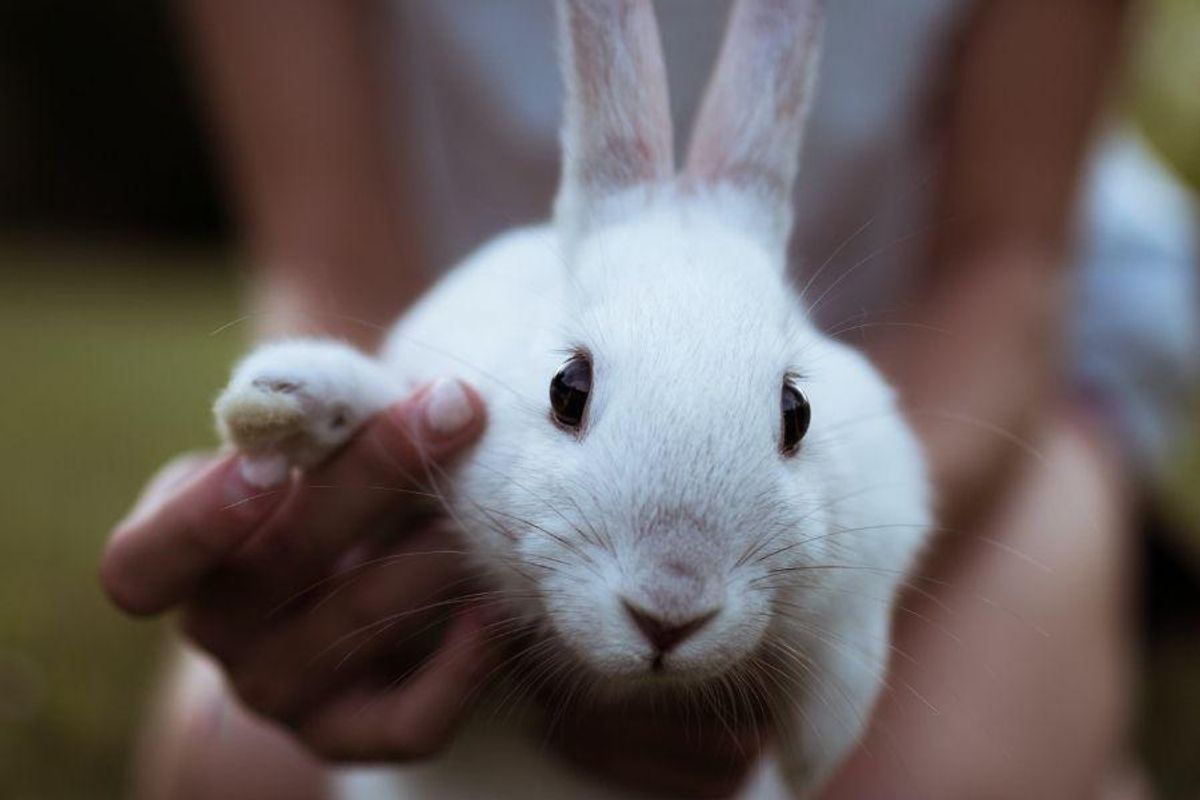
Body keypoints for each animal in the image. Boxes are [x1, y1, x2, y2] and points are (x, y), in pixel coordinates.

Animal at [213, 1, 926, 796]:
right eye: (567, 389)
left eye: (795, 412)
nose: (669, 610)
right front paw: (282, 404)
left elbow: (847, 651)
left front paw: (815, 748)